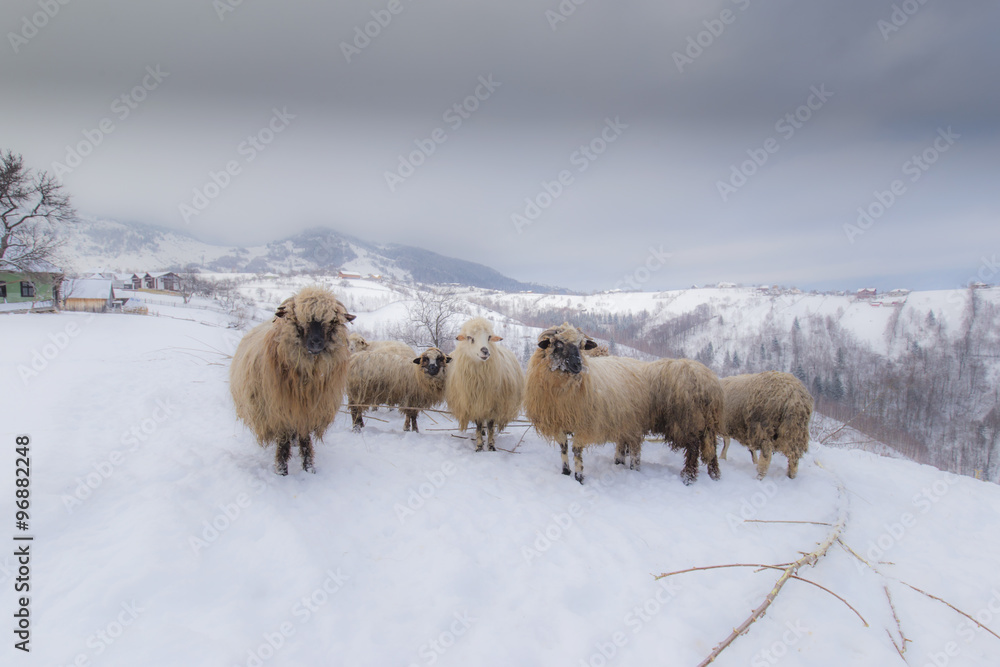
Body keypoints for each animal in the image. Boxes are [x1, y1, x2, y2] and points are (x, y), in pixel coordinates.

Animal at [230, 286, 355, 475]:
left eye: (332, 321)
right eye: (298, 319)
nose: (316, 342)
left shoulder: (308, 412)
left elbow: (305, 440)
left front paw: (309, 467)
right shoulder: (279, 411)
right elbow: (283, 442)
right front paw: (282, 470)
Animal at [444, 317, 524, 452]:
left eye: (489, 337)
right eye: (470, 337)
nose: (485, 351)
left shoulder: (494, 404)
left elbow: (491, 426)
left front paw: (491, 445)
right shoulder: (475, 404)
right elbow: (478, 425)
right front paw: (479, 445)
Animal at [524, 323, 650, 483]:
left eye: (581, 345)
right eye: (558, 343)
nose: (578, 365)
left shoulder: (583, 424)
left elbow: (577, 451)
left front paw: (579, 477)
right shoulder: (558, 422)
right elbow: (563, 447)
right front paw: (566, 471)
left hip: (635, 424)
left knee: (635, 449)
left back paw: (634, 468)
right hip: (622, 422)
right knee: (622, 443)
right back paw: (619, 462)